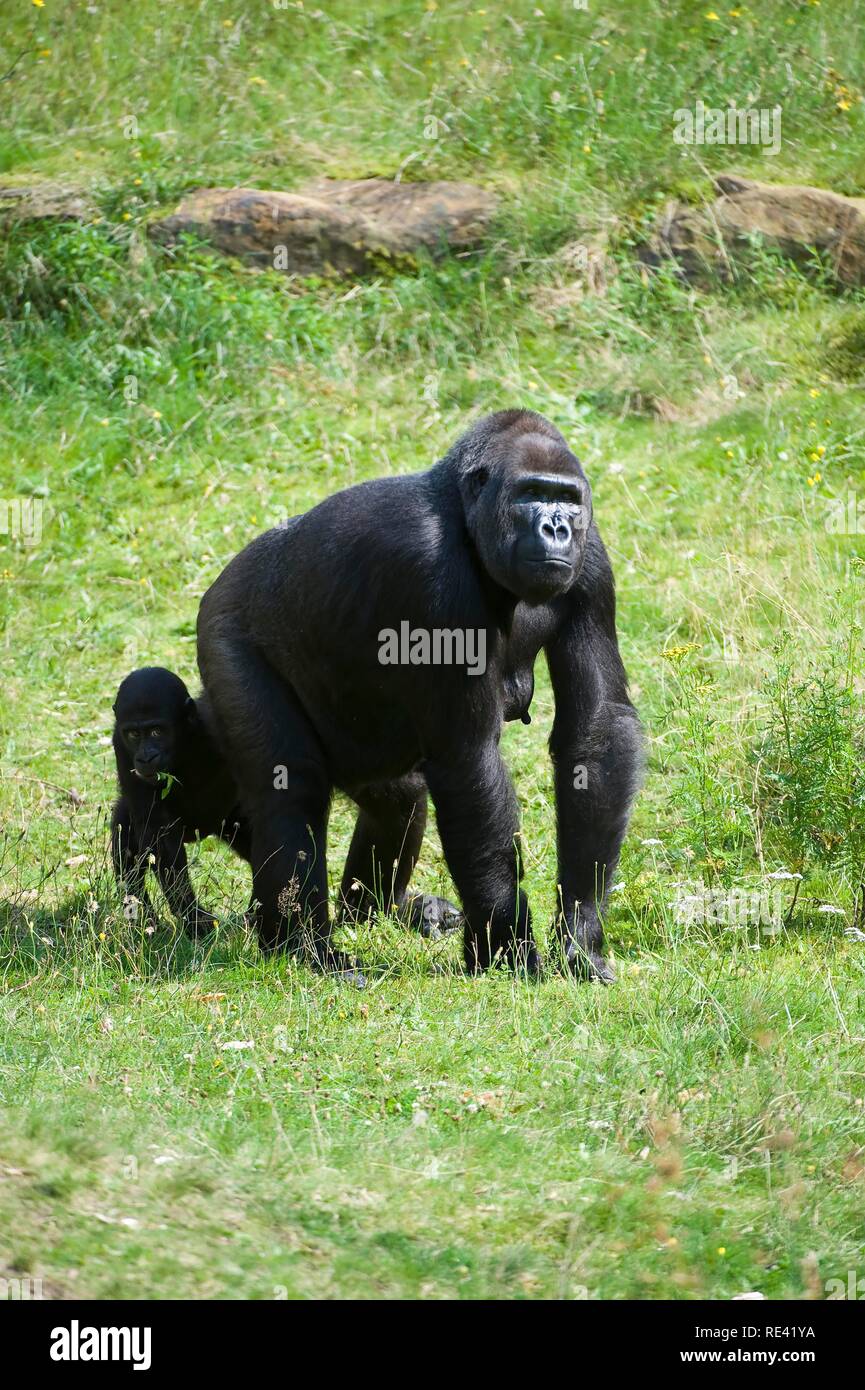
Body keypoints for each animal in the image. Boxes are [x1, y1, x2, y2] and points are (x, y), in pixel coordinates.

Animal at [109, 667, 248, 939]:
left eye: (157, 731)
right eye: (133, 734)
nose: (145, 757)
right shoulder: (120, 744)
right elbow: (157, 834)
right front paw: (193, 916)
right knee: (124, 830)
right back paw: (143, 919)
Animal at [198, 405, 645, 984]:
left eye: (566, 498)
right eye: (529, 494)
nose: (558, 527)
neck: (466, 517)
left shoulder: (592, 560)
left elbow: (596, 727)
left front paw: (580, 933)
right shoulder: (433, 575)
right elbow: (467, 760)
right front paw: (504, 943)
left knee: (398, 798)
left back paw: (381, 911)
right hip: (224, 634)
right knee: (290, 787)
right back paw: (302, 946)